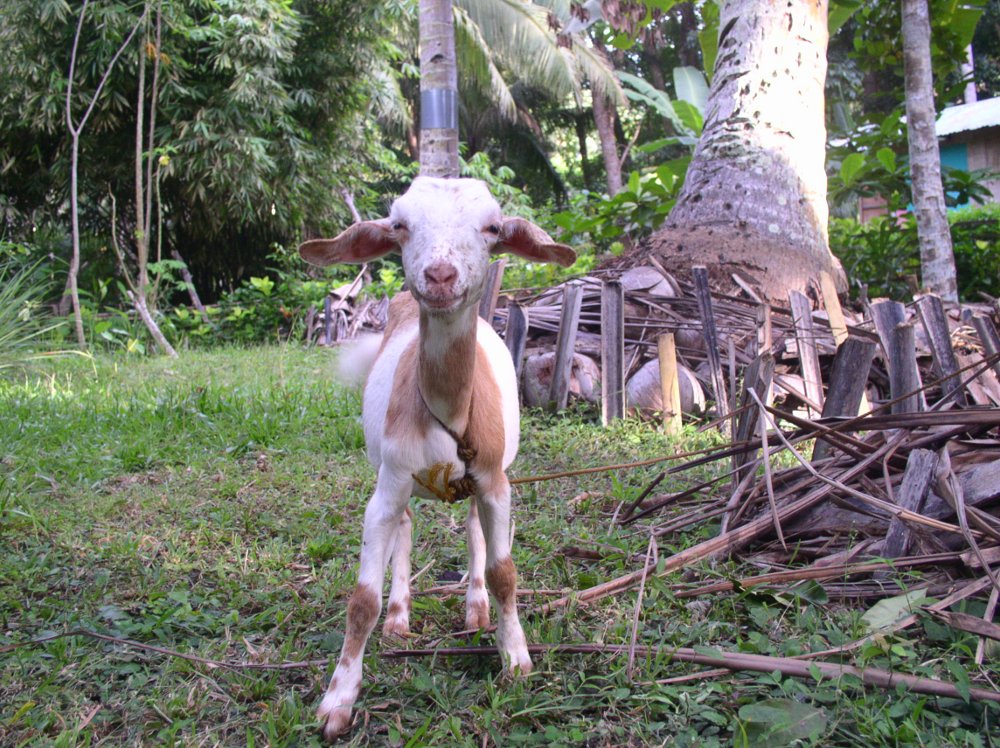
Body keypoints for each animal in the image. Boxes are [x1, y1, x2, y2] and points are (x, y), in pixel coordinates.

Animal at [296, 177, 576, 736]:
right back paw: (399, 616)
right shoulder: (387, 482)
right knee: (405, 525)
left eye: (492, 227)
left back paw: (475, 608)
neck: (447, 411)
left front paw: (516, 658)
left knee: (471, 529)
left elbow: (505, 571)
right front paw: (338, 700)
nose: (440, 275)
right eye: (400, 224)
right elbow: (362, 598)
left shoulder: (494, 479)